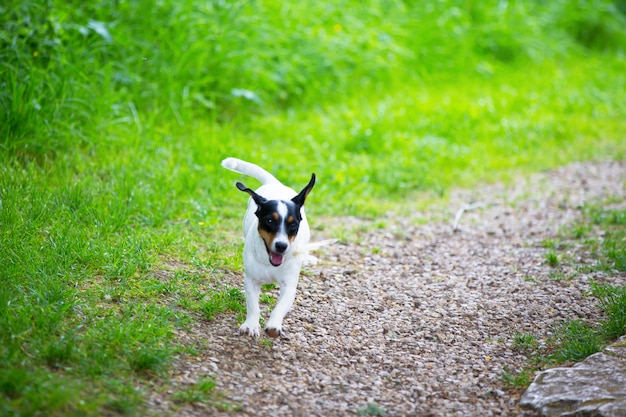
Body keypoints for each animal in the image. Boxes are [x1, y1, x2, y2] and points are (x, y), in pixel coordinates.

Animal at [222, 158, 314, 336]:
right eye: (270, 220)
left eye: (293, 224)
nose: (281, 246)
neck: (269, 262)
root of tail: (275, 183)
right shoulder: (251, 280)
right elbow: (253, 305)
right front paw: (251, 325)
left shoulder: (289, 285)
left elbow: (280, 307)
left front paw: (273, 325)